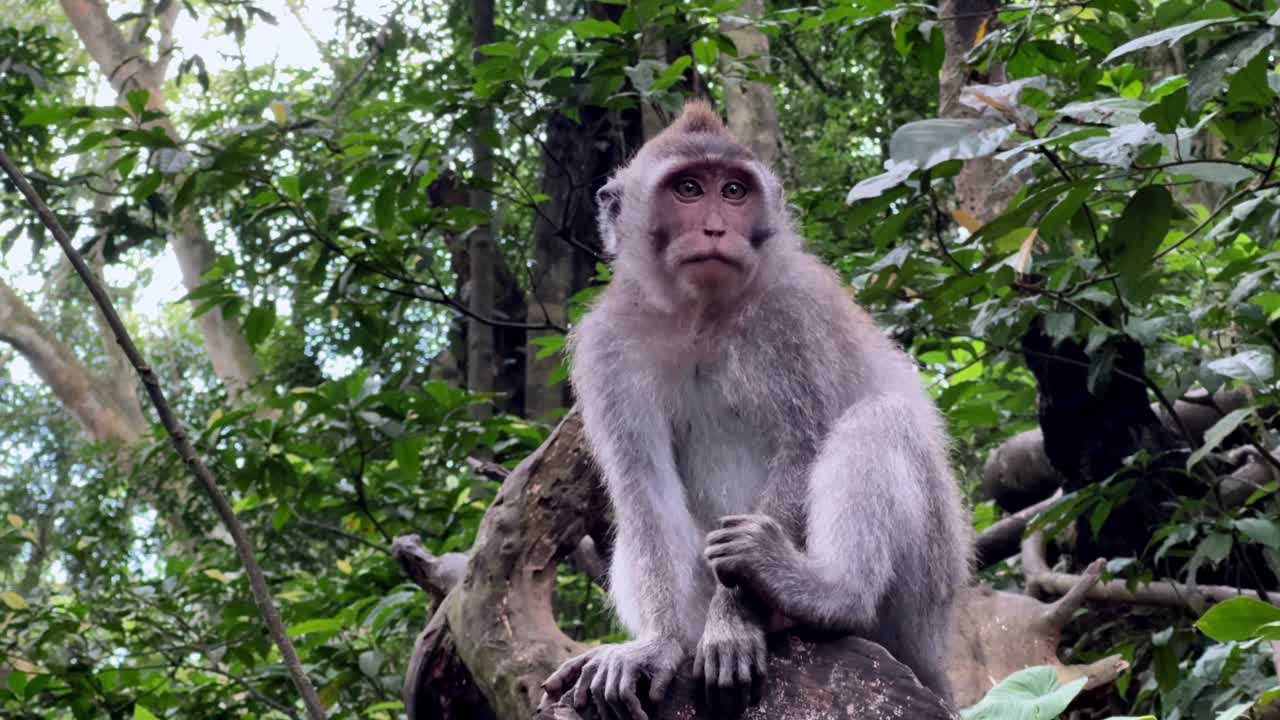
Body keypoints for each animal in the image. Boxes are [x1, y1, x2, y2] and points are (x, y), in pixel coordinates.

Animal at [539, 101, 972, 720]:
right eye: (689, 189)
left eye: (734, 191)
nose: (718, 227)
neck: (702, 314)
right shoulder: (608, 349)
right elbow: (642, 484)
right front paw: (656, 645)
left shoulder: (795, 313)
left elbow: (802, 445)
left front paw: (733, 624)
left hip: (924, 597)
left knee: (881, 420)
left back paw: (821, 593)